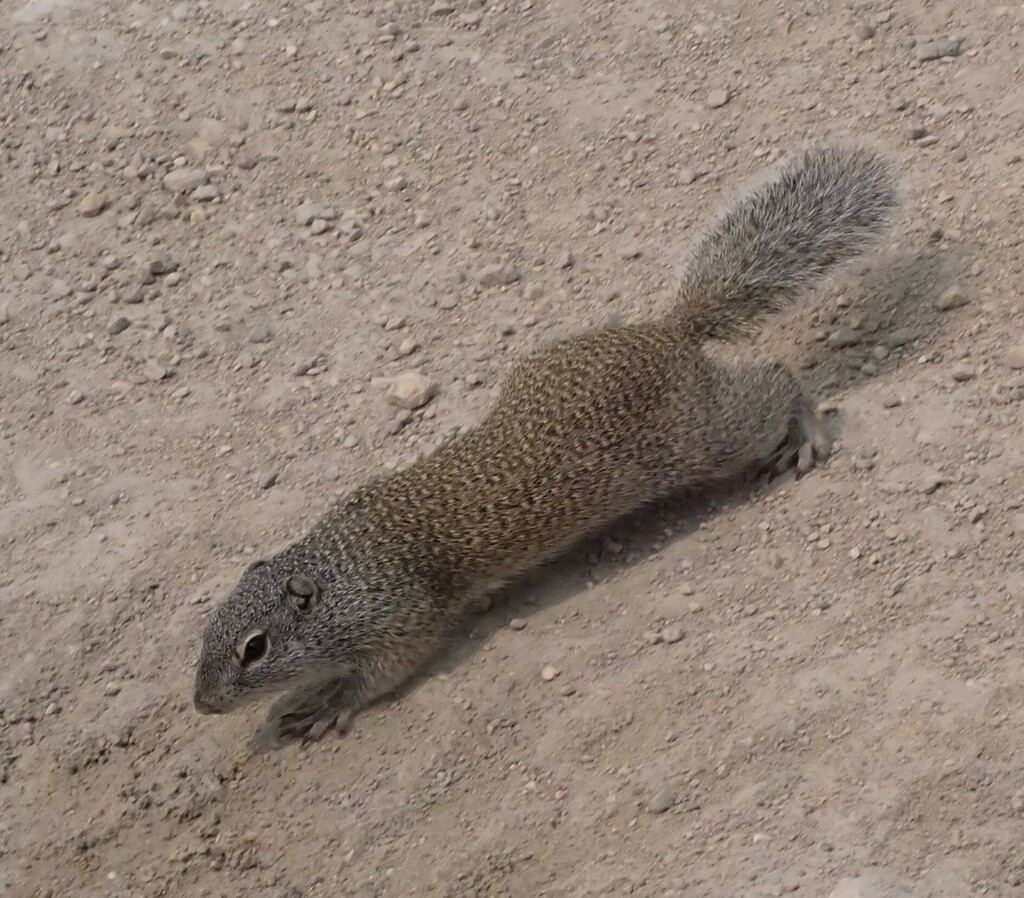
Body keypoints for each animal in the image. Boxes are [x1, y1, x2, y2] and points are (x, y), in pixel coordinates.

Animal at [193, 140, 901, 742]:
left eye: (254, 647)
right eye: (203, 637)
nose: (202, 704)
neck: (336, 572)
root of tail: (669, 331)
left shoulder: (399, 619)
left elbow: (384, 675)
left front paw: (326, 706)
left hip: (705, 436)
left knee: (776, 382)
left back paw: (806, 433)